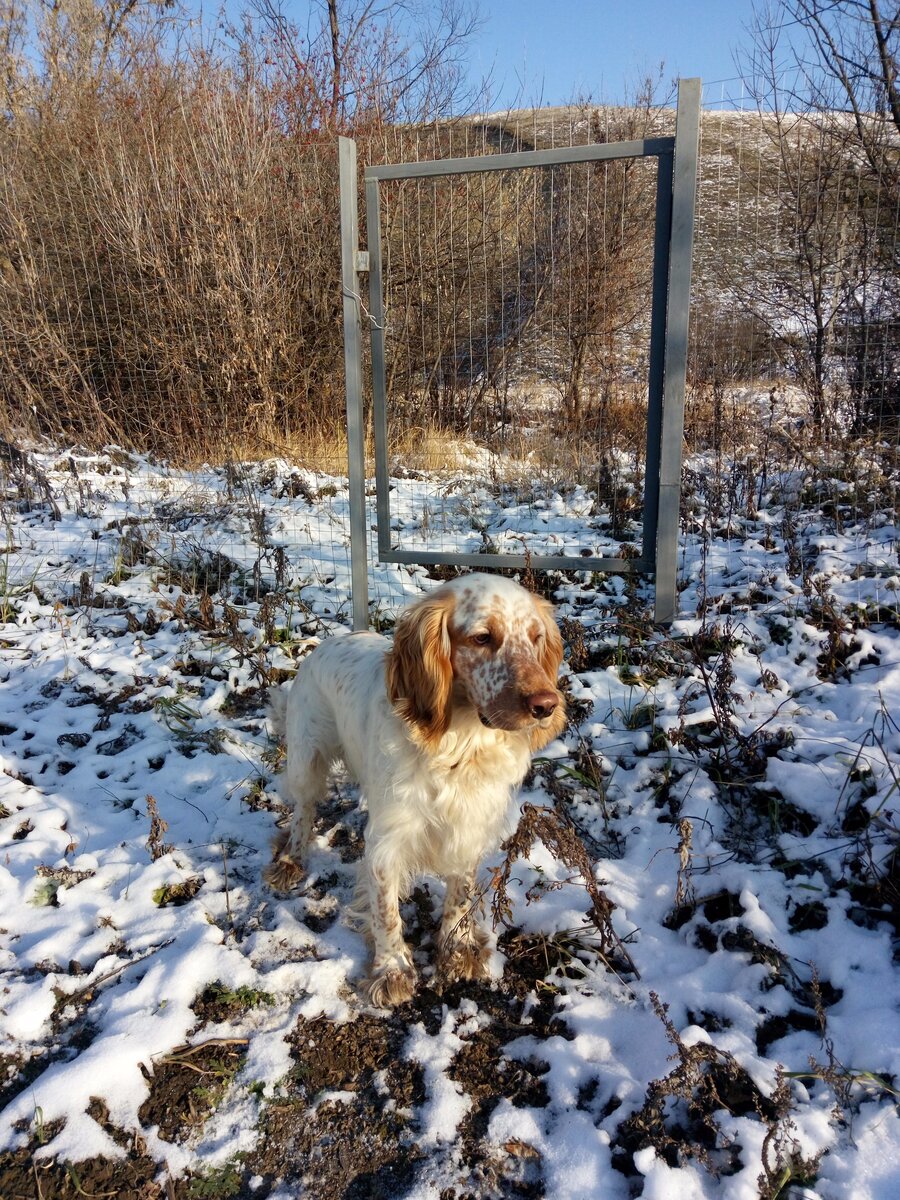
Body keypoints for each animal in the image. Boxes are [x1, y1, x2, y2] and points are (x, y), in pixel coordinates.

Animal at [264, 571, 566, 1003]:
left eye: (536, 636)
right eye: (482, 638)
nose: (546, 705)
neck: (460, 746)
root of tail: (326, 644)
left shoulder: (468, 829)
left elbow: (460, 896)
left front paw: (457, 949)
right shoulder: (387, 840)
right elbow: (386, 910)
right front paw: (392, 969)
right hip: (307, 758)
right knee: (304, 811)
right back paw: (291, 860)